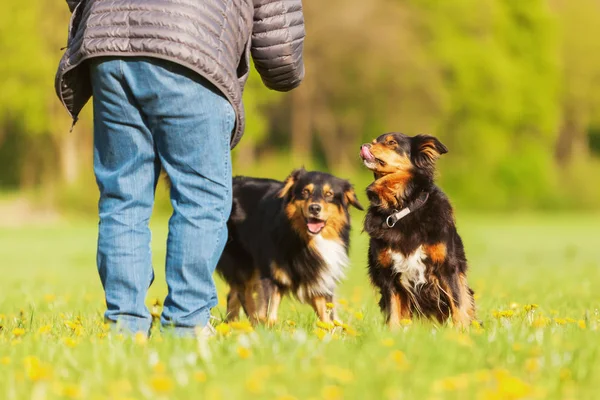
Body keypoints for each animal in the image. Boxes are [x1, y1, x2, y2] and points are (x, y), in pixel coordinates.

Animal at [218, 169, 364, 324]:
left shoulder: (319, 278)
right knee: (245, 295)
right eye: (305, 191)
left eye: (329, 194)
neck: (306, 240)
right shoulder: (271, 276)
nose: (314, 208)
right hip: (243, 263)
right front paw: (267, 328)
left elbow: (326, 317)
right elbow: (268, 312)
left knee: (234, 295)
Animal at [358, 134, 476, 328]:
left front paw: (460, 332)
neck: (401, 208)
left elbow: (458, 305)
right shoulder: (387, 275)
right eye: (374, 141)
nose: (363, 146)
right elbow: (393, 313)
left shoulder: (448, 268)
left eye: (391, 142)